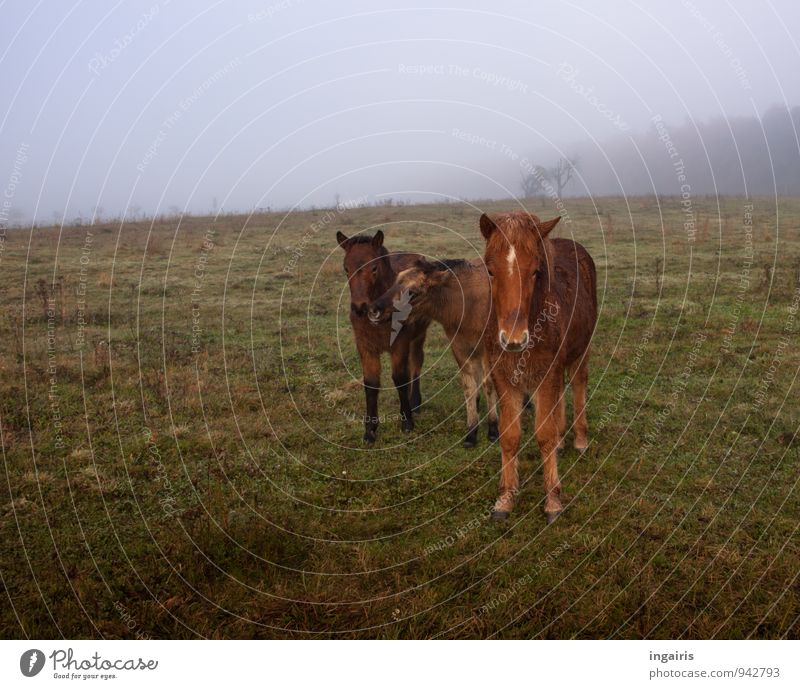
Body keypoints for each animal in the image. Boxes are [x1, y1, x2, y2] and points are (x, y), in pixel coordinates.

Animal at [338, 228, 432, 444]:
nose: (359, 307)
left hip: (418, 335)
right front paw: (370, 431)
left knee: (416, 362)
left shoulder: (399, 344)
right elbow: (371, 384)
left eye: (374, 268)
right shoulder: (365, 347)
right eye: (346, 268)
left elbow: (400, 379)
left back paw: (415, 401)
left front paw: (407, 422)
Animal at [368, 256, 500, 446]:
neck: (466, 309)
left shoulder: (488, 348)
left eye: (412, 292)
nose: (373, 310)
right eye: (394, 282)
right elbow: (469, 386)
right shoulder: (459, 347)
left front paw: (493, 429)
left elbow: (488, 384)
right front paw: (471, 431)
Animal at [478, 211, 596, 520]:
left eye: (535, 271)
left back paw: (580, 440)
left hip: (581, 351)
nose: (514, 339)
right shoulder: (504, 378)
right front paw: (505, 498)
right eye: (490, 271)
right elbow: (510, 436)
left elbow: (544, 434)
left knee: (578, 384)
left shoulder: (547, 374)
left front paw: (553, 499)